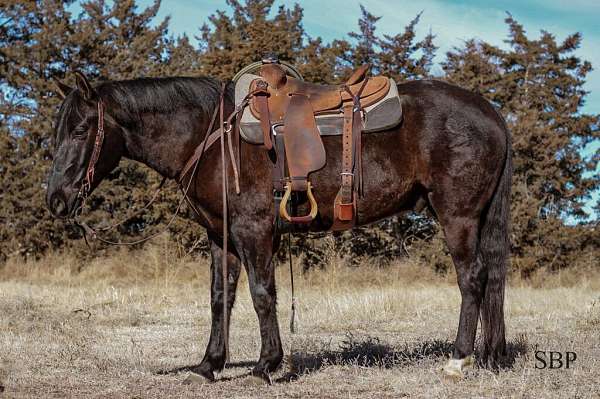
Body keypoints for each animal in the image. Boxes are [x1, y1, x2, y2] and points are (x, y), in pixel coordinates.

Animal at [49, 71, 512, 382]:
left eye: (80, 129)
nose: (56, 200)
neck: (213, 138)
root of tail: (492, 112)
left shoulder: (253, 231)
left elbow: (261, 295)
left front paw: (265, 366)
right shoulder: (220, 237)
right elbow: (221, 299)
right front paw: (208, 365)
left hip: (458, 216)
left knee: (472, 279)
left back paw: (458, 359)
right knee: (490, 281)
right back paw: (491, 356)